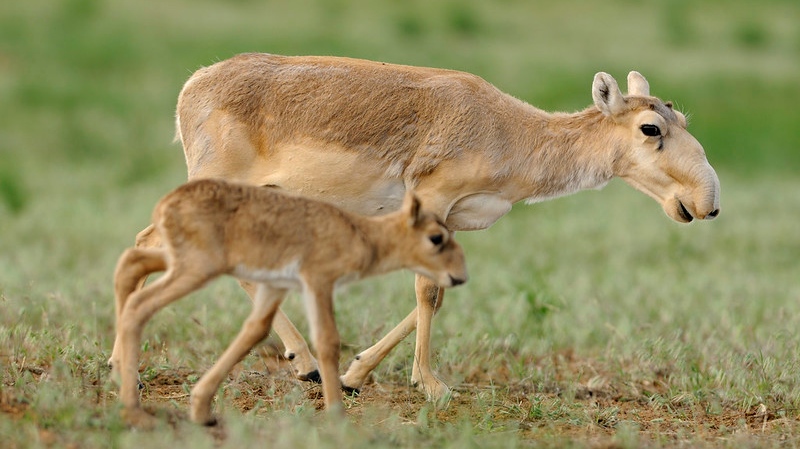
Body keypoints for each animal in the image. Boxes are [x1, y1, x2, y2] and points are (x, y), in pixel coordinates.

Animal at [133, 53, 720, 402]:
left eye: (682, 119)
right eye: (651, 127)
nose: (706, 203)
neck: (511, 131)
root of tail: (192, 86)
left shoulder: (452, 220)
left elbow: (440, 291)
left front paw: (355, 373)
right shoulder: (432, 201)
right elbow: (426, 290)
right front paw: (431, 385)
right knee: (154, 244)